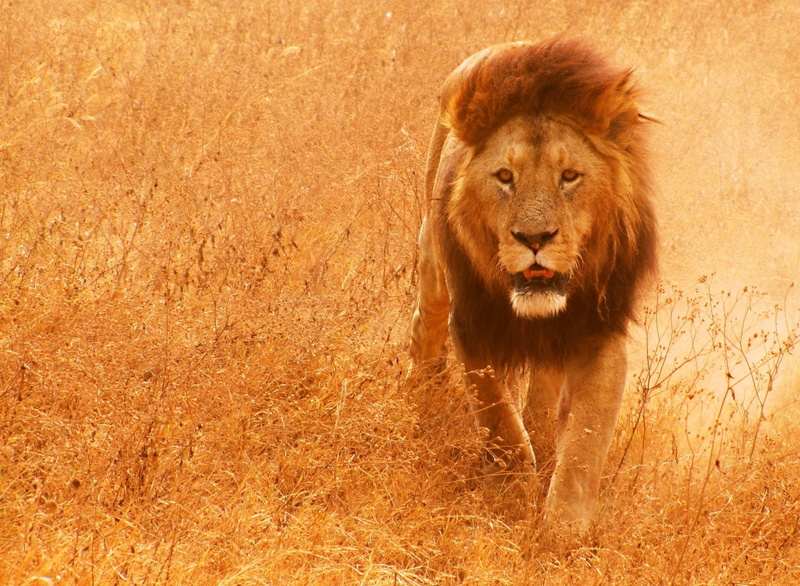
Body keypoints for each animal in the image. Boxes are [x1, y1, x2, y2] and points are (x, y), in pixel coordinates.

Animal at [409, 38, 658, 529]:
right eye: (505, 176)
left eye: (570, 176)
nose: (535, 238)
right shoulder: (471, 325)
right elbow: (499, 420)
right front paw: (509, 498)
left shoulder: (600, 332)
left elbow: (585, 440)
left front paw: (564, 528)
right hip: (433, 256)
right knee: (425, 317)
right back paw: (418, 390)